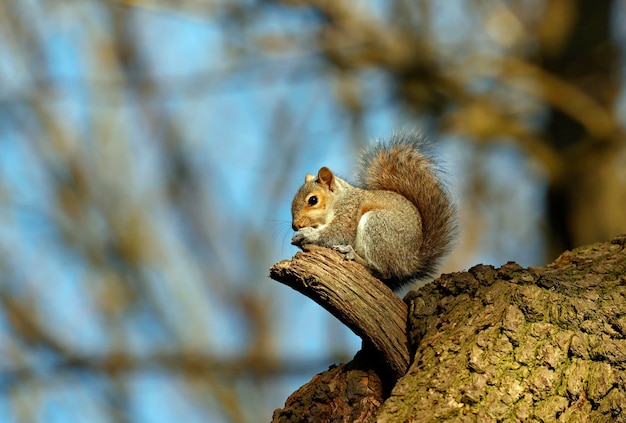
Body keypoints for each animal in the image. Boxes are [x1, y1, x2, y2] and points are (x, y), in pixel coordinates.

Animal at [290, 133, 456, 292]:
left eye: (313, 200)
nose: (295, 225)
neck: (339, 200)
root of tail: (411, 262)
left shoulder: (349, 213)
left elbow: (338, 234)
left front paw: (308, 234)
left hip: (377, 225)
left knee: (382, 271)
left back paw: (354, 256)